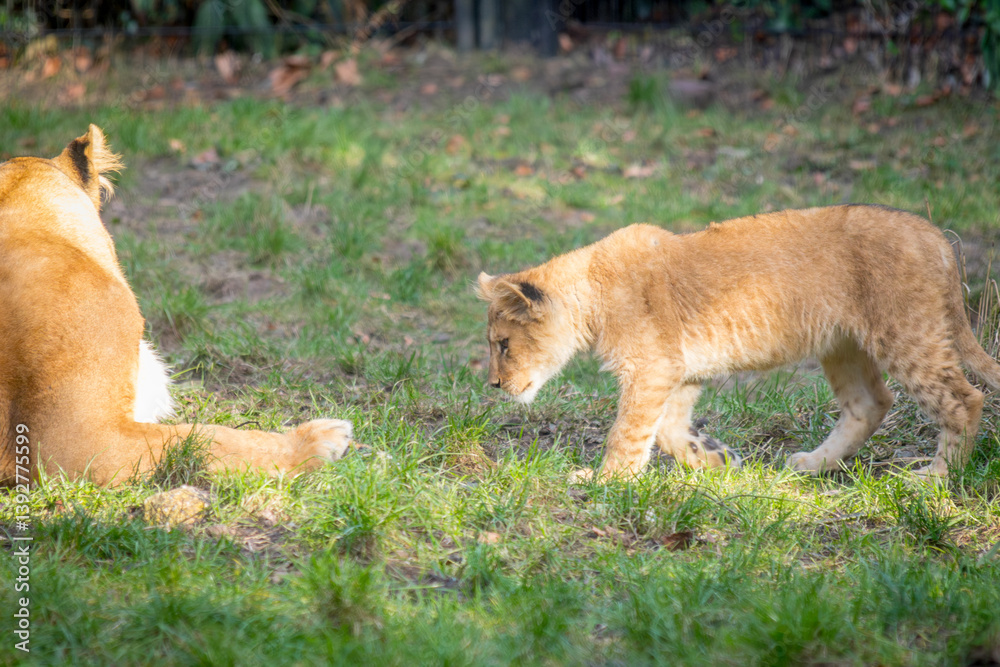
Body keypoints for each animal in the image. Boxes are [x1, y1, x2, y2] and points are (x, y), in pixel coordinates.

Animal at [478, 205, 1000, 481]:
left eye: (502, 344)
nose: (495, 386)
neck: (592, 290)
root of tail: (934, 235)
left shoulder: (651, 368)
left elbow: (627, 432)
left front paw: (607, 480)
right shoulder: (677, 371)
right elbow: (667, 431)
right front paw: (714, 459)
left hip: (906, 335)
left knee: (964, 399)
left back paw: (935, 479)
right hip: (841, 344)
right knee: (870, 403)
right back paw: (812, 464)